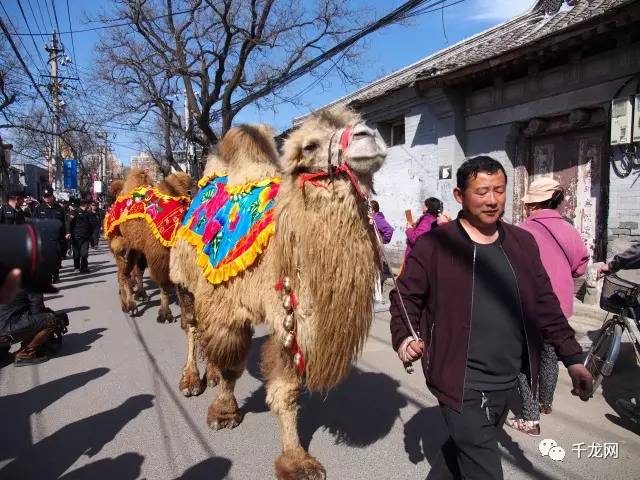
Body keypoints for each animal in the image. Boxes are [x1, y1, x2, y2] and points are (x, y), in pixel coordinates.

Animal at [109, 169, 194, 322]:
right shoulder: (160, 255)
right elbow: (165, 284)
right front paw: (165, 314)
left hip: (134, 248)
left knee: (129, 272)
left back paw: (134, 299)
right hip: (119, 242)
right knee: (123, 274)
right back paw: (129, 305)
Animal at [170, 109, 388, 480]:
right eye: (310, 145)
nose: (367, 135)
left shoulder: (291, 319)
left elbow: (286, 390)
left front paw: (295, 459)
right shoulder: (227, 305)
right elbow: (232, 364)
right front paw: (224, 413)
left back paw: (208, 373)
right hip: (185, 280)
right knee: (192, 327)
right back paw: (191, 379)